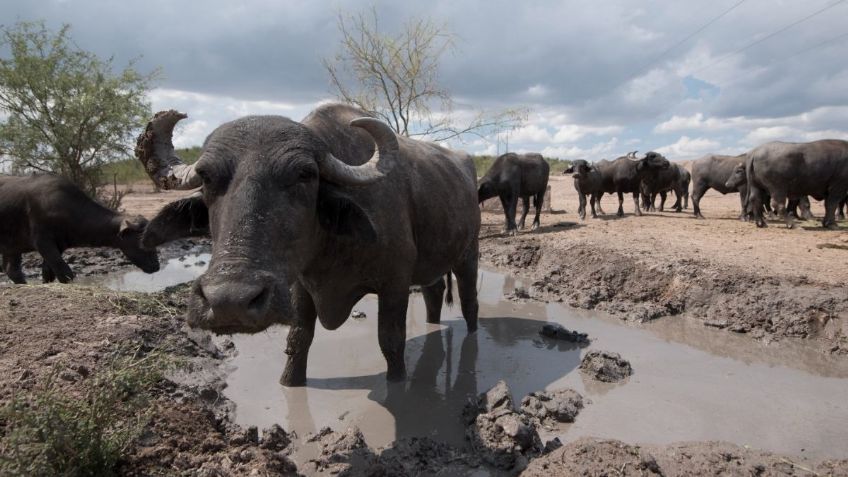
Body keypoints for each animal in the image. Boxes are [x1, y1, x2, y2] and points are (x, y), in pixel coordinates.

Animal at [0, 174, 161, 282]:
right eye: (143, 243)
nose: (156, 267)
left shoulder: (58, 245)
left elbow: (48, 273)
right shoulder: (42, 242)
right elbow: (64, 272)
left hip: (12, 246)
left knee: (12, 270)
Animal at [140, 103, 484, 384]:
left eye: (304, 174)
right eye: (206, 176)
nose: (229, 302)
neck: (329, 250)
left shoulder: (395, 284)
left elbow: (391, 341)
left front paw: (397, 383)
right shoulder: (299, 285)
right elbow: (299, 338)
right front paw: (289, 381)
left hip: (468, 255)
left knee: (469, 302)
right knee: (434, 293)